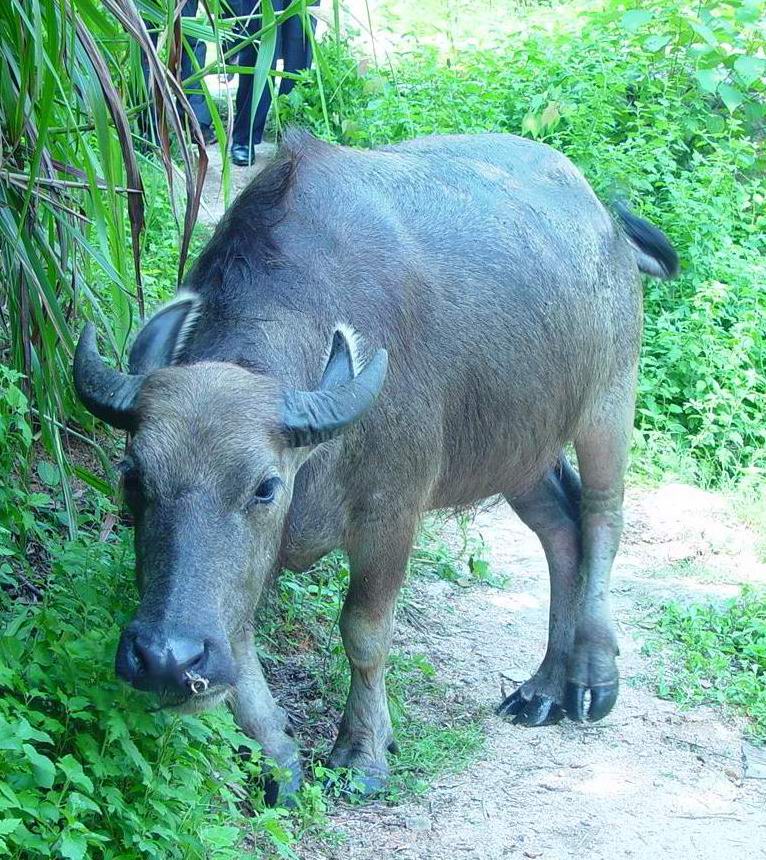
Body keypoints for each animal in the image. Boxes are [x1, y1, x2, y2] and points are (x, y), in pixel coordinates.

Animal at [72, 129, 680, 800]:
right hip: (522, 447)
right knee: (562, 532)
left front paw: (364, 752)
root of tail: (605, 220)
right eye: (133, 479)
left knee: (602, 517)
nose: (166, 660)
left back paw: (592, 679)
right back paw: (542, 689)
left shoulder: (391, 516)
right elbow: (239, 634)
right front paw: (278, 759)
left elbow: (364, 631)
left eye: (264, 487)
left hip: (610, 399)